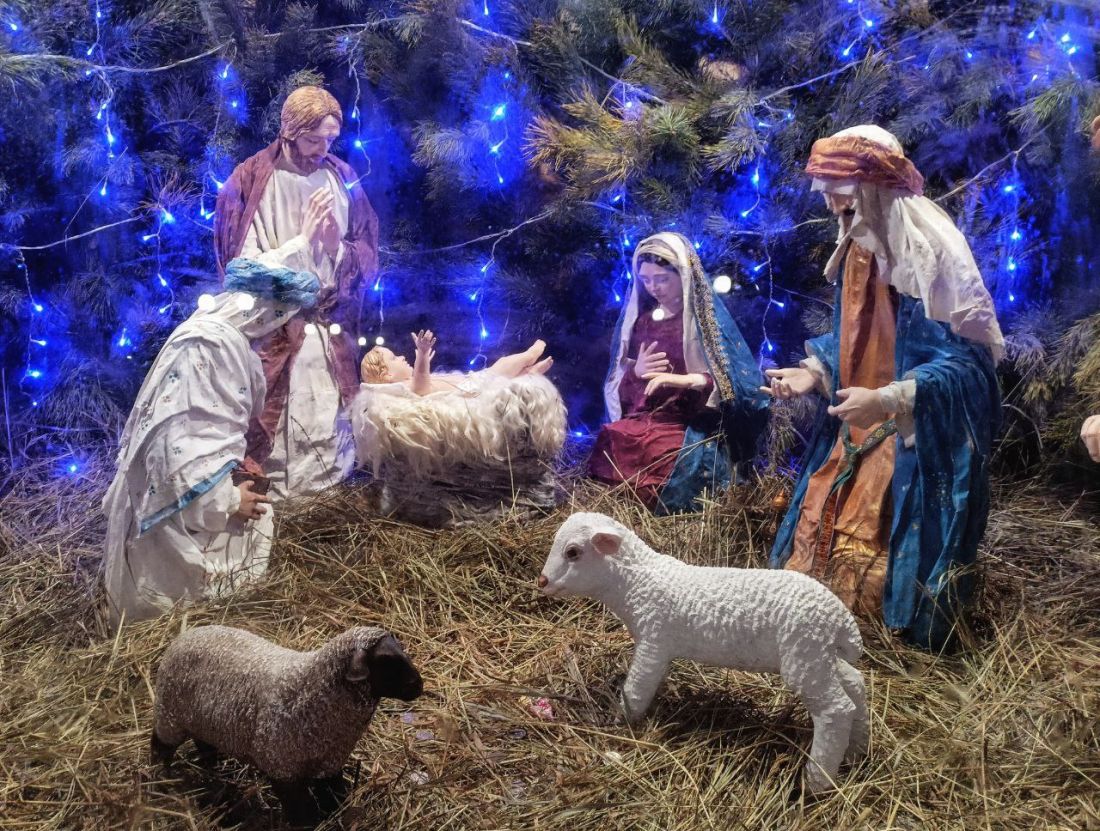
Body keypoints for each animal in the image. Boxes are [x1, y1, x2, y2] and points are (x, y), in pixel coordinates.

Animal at [151, 624, 423, 805]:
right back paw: (159, 779)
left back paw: (212, 765)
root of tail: (183, 636)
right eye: (386, 661)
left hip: (201, 721)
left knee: (203, 742)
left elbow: (332, 792)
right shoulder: (282, 768)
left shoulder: (330, 761)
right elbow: (299, 809)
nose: (419, 686)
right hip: (169, 714)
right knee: (159, 745)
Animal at [537, 512, 868, 794]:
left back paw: (816, 783)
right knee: (855, 685)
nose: (543, 582)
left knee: (836, 709)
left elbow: (637, 688)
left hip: (804, 654)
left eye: (572, 552)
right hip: (819, 655)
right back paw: (857, 752)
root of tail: (841, 619)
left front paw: (624, 722)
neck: (636, 581)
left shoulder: (654, 639)